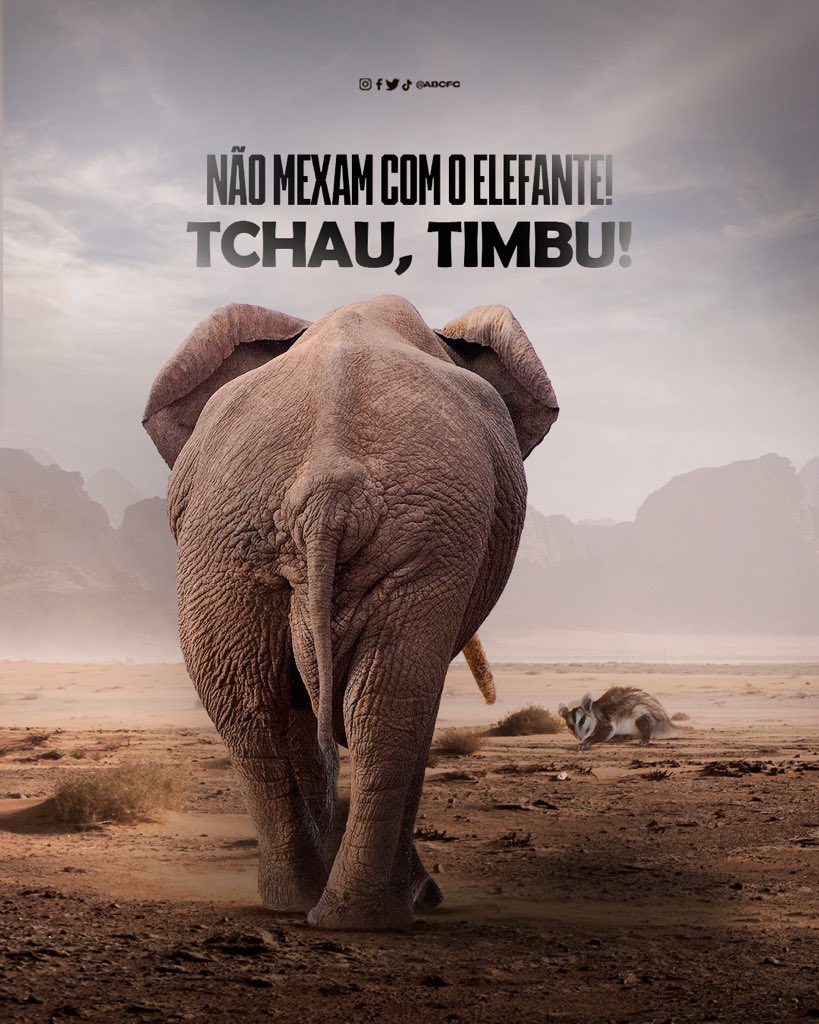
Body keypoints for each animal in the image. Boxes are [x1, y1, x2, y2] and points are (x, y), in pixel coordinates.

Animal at [142, 294, 558, 930]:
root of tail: (325, 490)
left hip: (233, 539)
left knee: (253, 701)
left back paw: (307, 904)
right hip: (395, 533)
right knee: (378, 701)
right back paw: (372, 911)